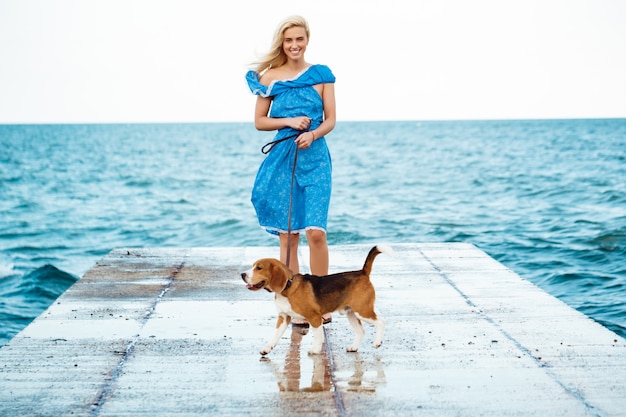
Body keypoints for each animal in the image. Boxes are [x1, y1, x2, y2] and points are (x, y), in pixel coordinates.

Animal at [240, 244, 390, 354]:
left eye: (259, 268)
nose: (242, 274)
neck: (288, 286)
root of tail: (362, 272)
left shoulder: (314, 317)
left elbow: (318, 336)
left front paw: (316, 350)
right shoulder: (283, 317)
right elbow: (275, 336)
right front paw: (267, 348)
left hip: (362, 311)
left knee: (381, 322)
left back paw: (377, 342)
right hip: (351, 313)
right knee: (361, 331)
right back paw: (353, 347)